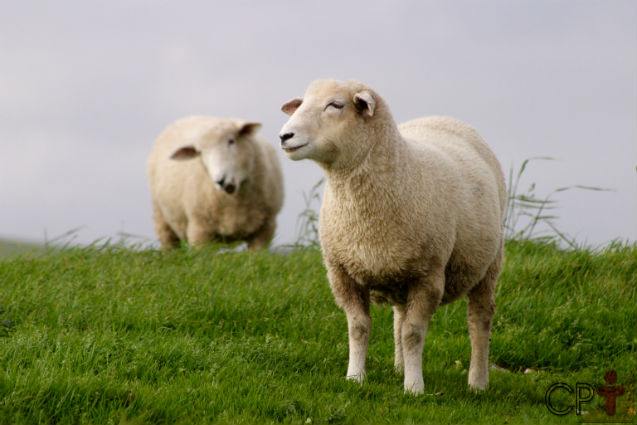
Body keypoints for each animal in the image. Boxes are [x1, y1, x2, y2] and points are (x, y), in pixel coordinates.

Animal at [148, 114, 282, 250]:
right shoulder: (199, 229)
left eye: (231, 141)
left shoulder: (265, 228)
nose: (220, 180)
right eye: (200, 152)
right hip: (161, 217)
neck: (233, 199)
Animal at [278, 80, 506, 394]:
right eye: (301, 104)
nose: (284, 136)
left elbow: (413, 333)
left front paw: (414, 387)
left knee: (480, 320)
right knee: (400, 316)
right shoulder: (342, 273)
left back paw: (477, 382)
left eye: (335, 105)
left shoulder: (428, 276)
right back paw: (400, 367)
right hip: (399, 269)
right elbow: (359, 328)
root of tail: (443, 118)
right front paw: (355, 377)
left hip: (489, 263)